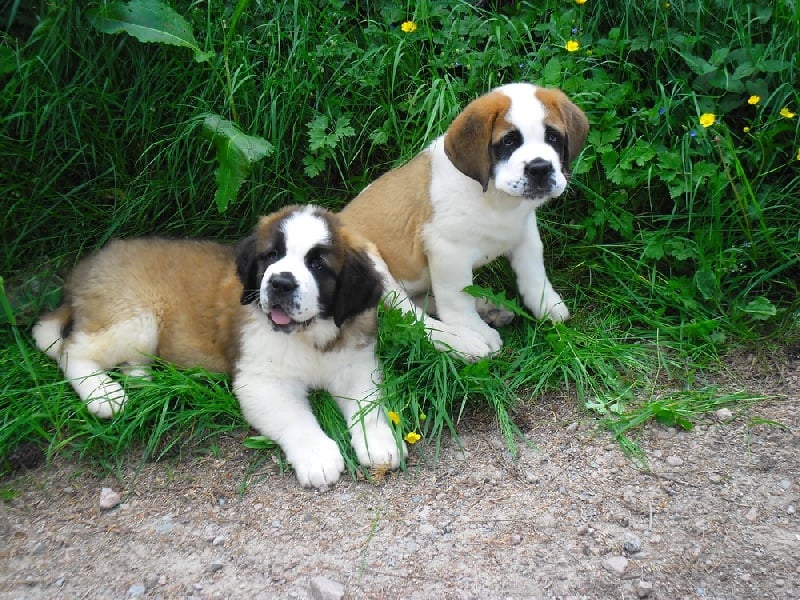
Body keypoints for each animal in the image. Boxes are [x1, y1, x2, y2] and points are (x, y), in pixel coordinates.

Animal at [31, 205, 406, 488]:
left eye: (317, 264)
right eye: (272, 255)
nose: (280, 283)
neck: (308, 335)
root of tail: (87, 266)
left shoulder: (356, 363)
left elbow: (369, 405)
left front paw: (380, 441)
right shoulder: (260, 382)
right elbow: (295, 417)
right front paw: (318, 455)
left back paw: (143, 381)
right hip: (133, 316)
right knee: (68, 348)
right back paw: (105, 394)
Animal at [340, 82, 592, 358]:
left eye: (553, 137)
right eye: (509, 141)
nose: (540, 168)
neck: (495, 198)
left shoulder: (524, 231)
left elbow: (533, 271)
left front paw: (546, 303)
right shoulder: (448, 251)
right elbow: (457, 297)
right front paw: (475, 330)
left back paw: (489, 308)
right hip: (371, 263)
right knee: (409, 318)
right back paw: (464, 342)